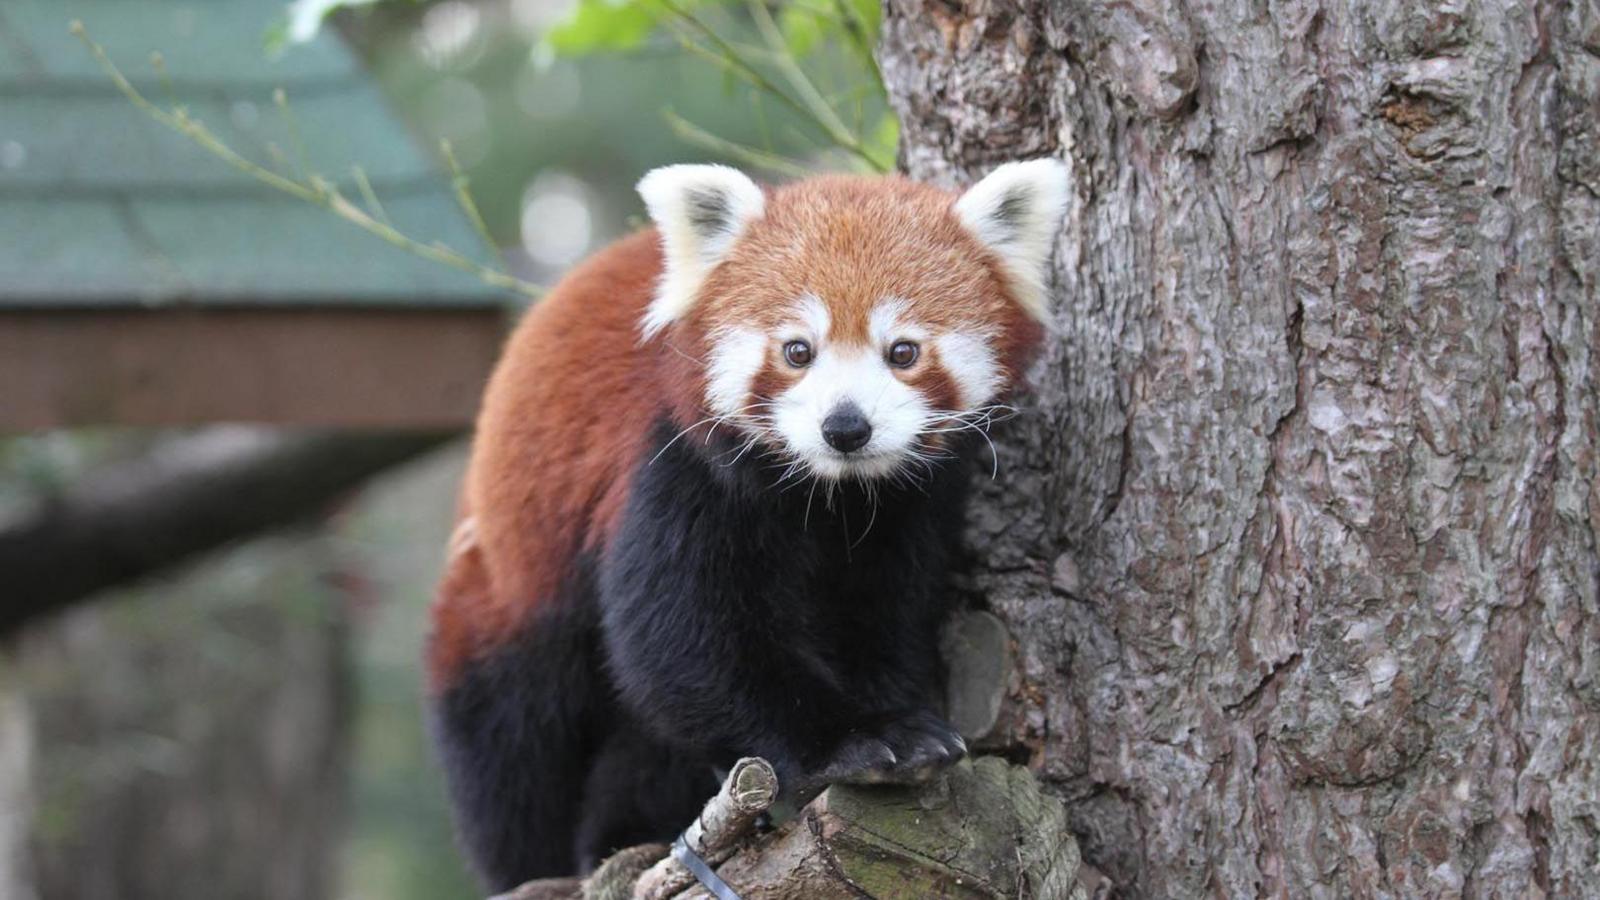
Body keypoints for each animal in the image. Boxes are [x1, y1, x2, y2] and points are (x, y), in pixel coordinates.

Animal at [432, 159, 1068, 883]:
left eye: (903, 352)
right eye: (797, 350)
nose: (845, 427)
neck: (829, 494)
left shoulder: (905, 512)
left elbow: (882, 614)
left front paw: (896, 715)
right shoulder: (674, 464)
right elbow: (683, 640)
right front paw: (854, 740)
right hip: (508, 587)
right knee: (513, 738)